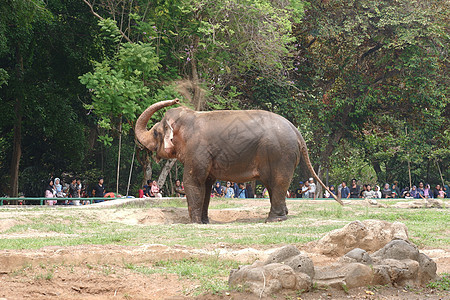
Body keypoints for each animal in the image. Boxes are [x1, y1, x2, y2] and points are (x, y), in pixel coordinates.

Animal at [135, 98, 342, 223]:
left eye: (156, 132)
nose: (176, 99)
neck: (189, 116)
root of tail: (297, 132)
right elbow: (207, 185)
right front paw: (204, 222)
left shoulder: (197, 151)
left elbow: (193, 181)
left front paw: (194, 223)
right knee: (274, 185)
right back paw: (282, 216)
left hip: (280, 154)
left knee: (278, 183)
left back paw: (273, 220)